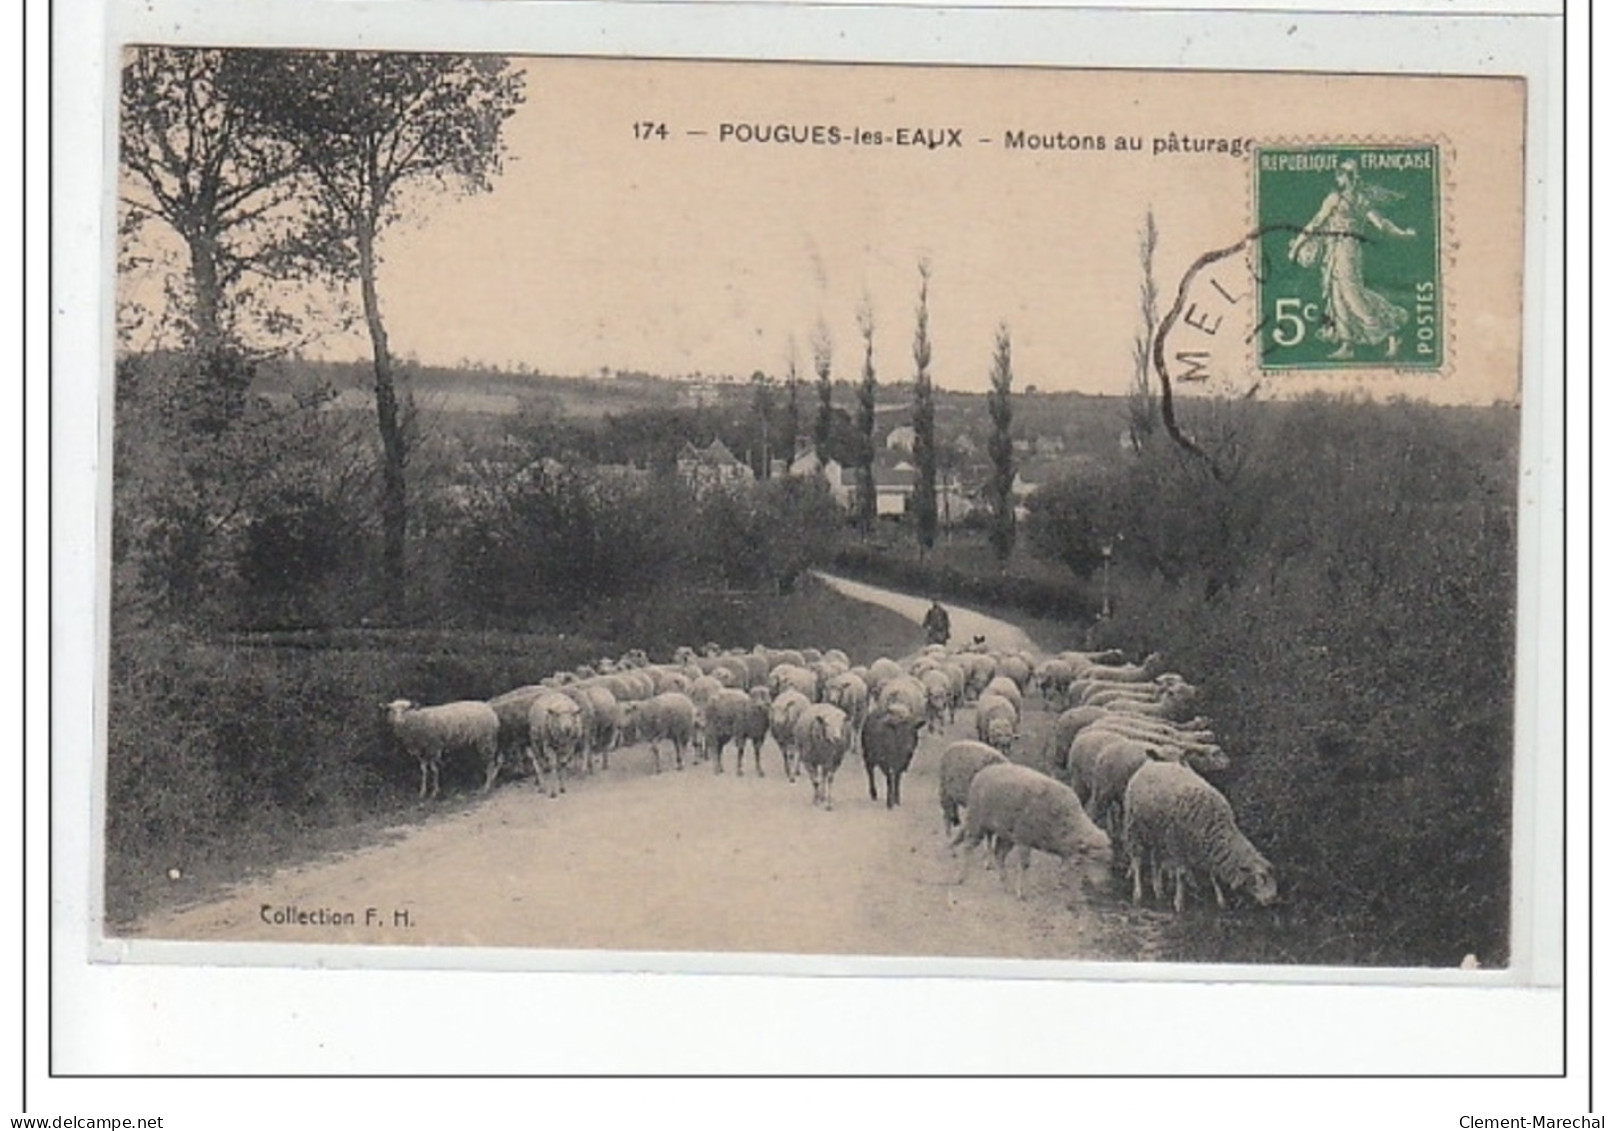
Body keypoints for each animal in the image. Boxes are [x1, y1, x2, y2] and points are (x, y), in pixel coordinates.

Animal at [956, 765, 1111, 898]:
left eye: (1107, 861)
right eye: (1094, 859)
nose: (1103, 887)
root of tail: (982, 773)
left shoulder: (1065, 850)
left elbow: (1064, 867)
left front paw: (1060, 883)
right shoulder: (1024, 840)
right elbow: (1025, 865)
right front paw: (1022, 892)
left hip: (1006, 835)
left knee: (999, 854)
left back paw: (1005, 883)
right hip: (977, 824)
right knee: (968, 846)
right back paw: (961, 877)